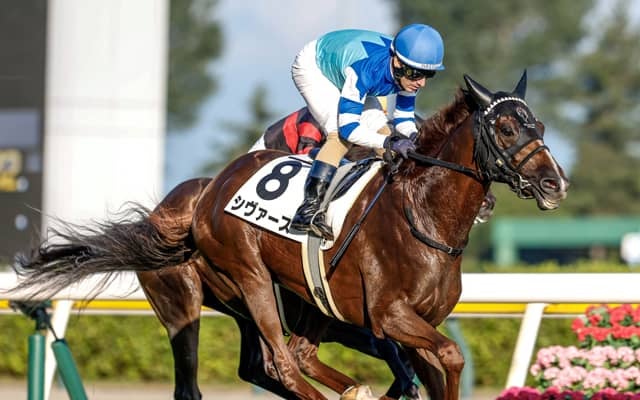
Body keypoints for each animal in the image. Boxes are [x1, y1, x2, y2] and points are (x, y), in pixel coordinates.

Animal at [12, 71, 568, 399]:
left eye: (538, 125)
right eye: (506, 129)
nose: (554, 183)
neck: (423, 217)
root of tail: (203, 195)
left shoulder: (411, 324)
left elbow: (432, 367)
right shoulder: (389, 316)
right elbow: (447, 355)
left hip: (269, 301)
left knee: (270, 363)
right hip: (221, 290)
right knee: (270, 365)